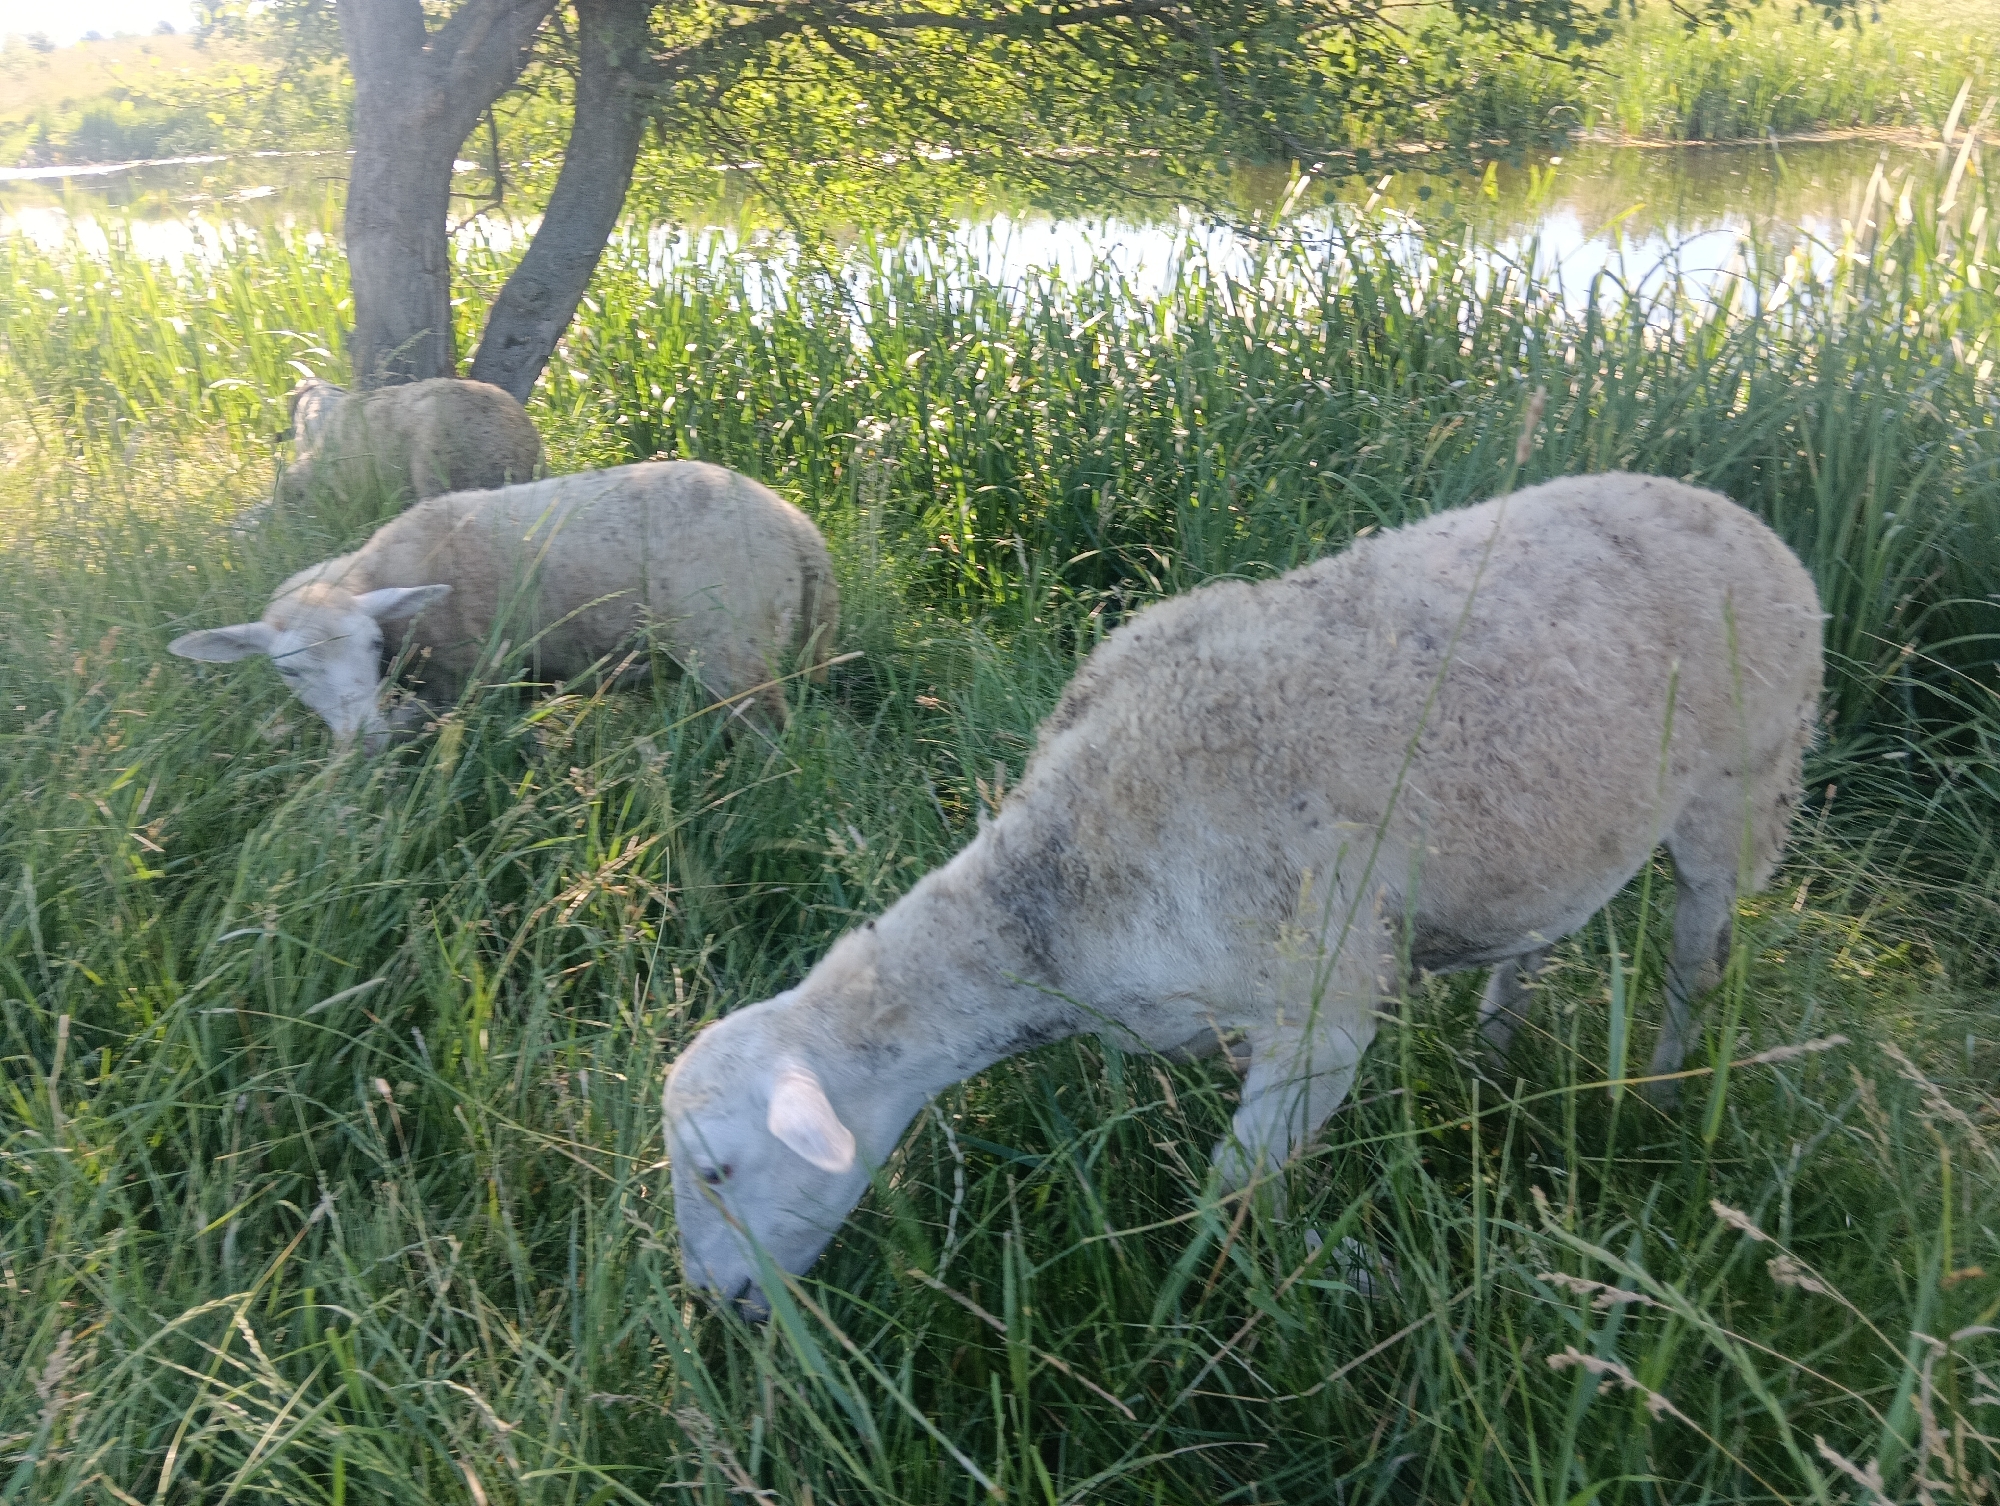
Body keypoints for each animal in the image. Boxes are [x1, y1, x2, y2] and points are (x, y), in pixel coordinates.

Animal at [170, 461, 840, 751]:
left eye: (372, 644)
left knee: (770, 734)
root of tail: (797, 528)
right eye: (287, 671)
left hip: (730, 643)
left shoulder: (471, 679)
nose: (364, 738)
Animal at [660, 471, 1824, 1311]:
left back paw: (1663, 1099)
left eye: (715, 1170)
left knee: (1692, 964)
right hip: (1549, 829)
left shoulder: (1320, 1016)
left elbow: (1231, 1188)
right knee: (1533, 944)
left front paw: (1292, 1284)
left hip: (1740, 792)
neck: (1059, 900)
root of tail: (1733, 510)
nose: (713, 1305)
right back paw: (1496, 1057)